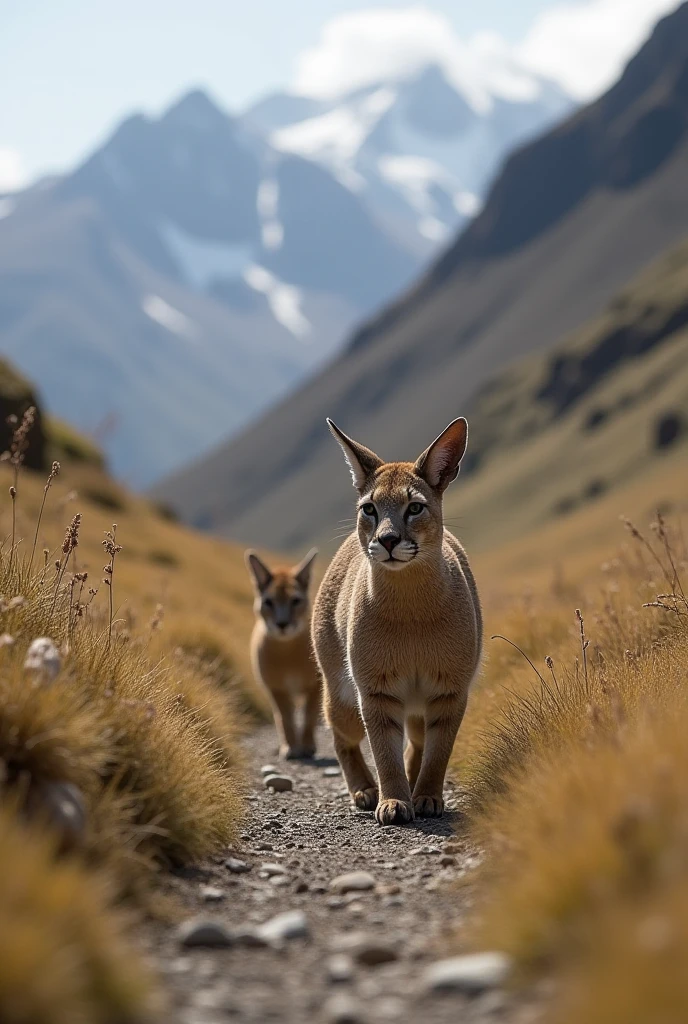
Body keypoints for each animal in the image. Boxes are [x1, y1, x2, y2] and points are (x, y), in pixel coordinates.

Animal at [244, 552, 323, 761]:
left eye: (295, 600)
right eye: (268, 602)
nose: (282, 624)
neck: (288, 653)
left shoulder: (315, 685)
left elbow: (309, 716)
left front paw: (307, 746)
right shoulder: (276, 688)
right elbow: (285, 719)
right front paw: (290, 747)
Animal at [311, 415, 479, 823]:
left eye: (415, 507)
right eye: (370, 508)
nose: (387, 540)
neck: (411, 610)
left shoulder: (450, 690)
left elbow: (438, 751)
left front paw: (427, 796)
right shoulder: (376, 692)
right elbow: (384, 752)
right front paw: (393, 801)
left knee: (416, 741)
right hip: (342, 698)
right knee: (341, 736)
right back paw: (364, 790)